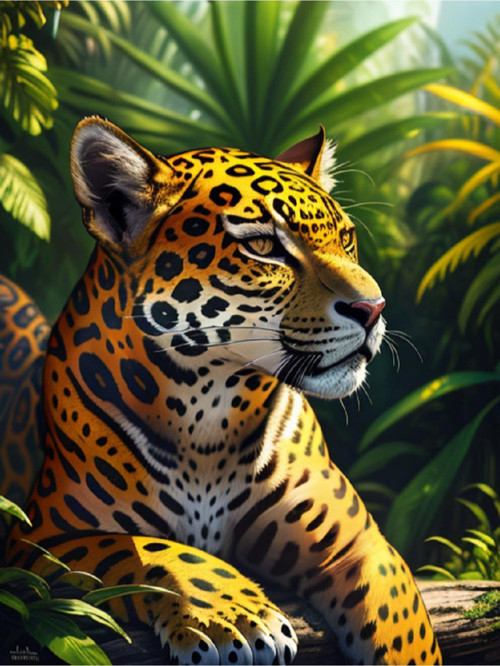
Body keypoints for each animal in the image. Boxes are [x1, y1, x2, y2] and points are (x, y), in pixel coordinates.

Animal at [2, 117, 441, 665]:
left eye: (346, 238)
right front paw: (237, 618)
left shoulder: (361, 545)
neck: (208, 407)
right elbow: (152, 547)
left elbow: (405, 634)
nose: (374, 308)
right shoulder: (37, 543)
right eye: (264, 246)